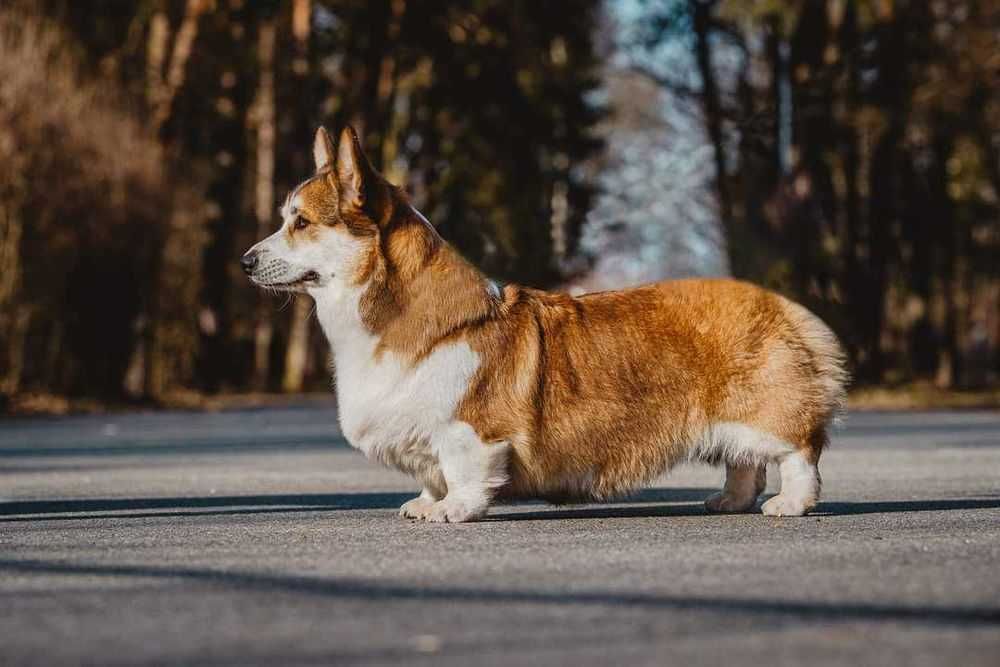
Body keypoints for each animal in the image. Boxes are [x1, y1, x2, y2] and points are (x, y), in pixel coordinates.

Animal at [240, 125, 844, 520]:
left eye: (300, 222)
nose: (244, 261)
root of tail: (784, 306)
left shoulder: (469, 431)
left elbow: (462, 471)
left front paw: (451, 510)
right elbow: (432, 476)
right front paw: (424, 503)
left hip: (767, 417)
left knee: (799, 454)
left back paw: (789, 504)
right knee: (745, 465)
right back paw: (729, 501)